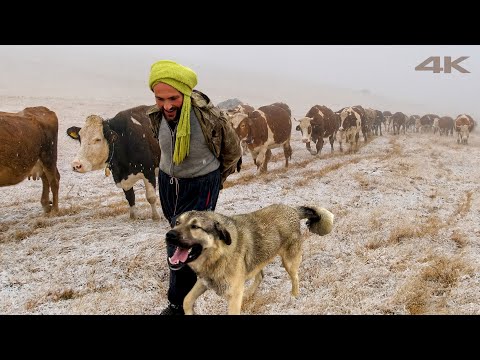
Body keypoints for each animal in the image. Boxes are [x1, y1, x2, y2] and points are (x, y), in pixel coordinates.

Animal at [165, 204, 334, 314]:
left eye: (195, 227)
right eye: (177, 223)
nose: (169, 235)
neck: (218, 253)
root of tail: (292, 209)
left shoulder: (233, 295)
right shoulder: (204, 282)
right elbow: (186, 300)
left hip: (289, 262)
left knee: (295, 277)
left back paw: (294, 296)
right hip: (255, 262)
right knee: (260, 276)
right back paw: (249, 294)